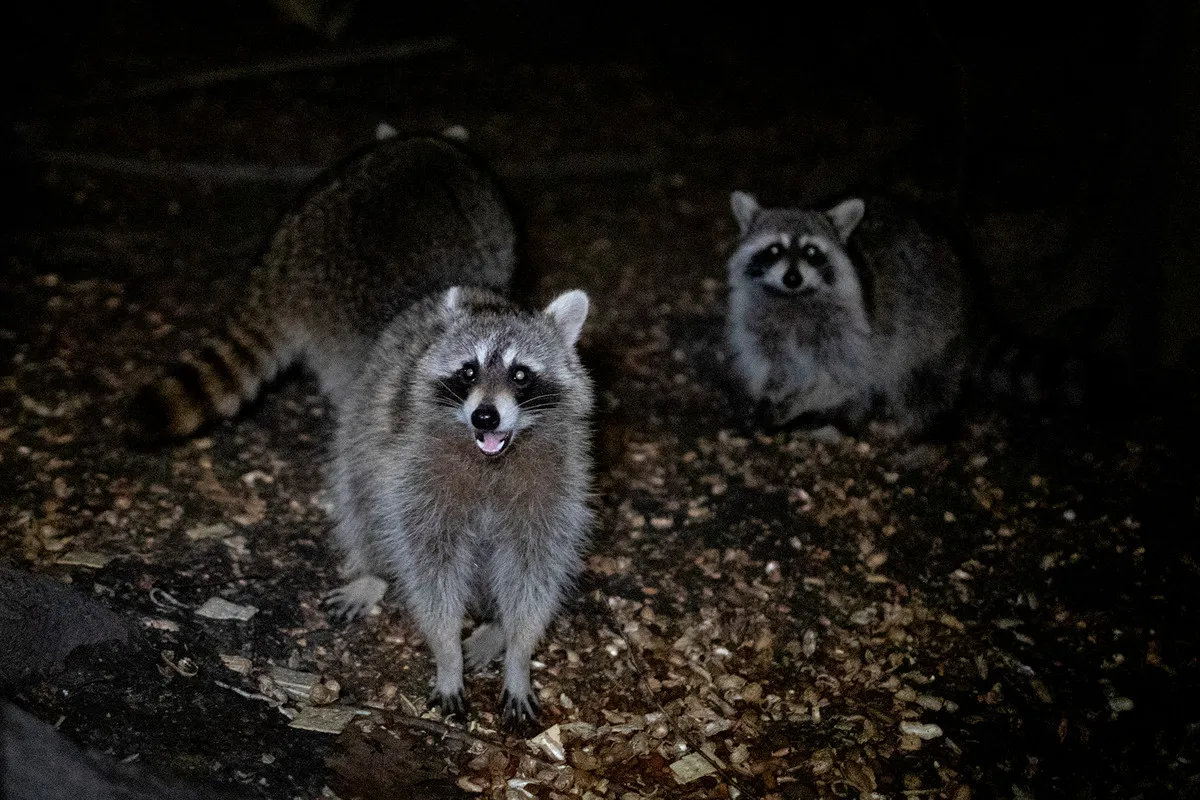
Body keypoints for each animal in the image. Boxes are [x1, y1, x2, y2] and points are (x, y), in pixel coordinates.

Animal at [720, 190, 974, 434]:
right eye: (774, 249)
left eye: (811, 251)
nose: (792, 278)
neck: (793, 297)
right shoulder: (757, 323)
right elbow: (771, 365)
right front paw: (770, 395)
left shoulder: (852, 329)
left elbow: (842, 377)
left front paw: (804, 401)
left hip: (931, 322)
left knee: (920, 378)